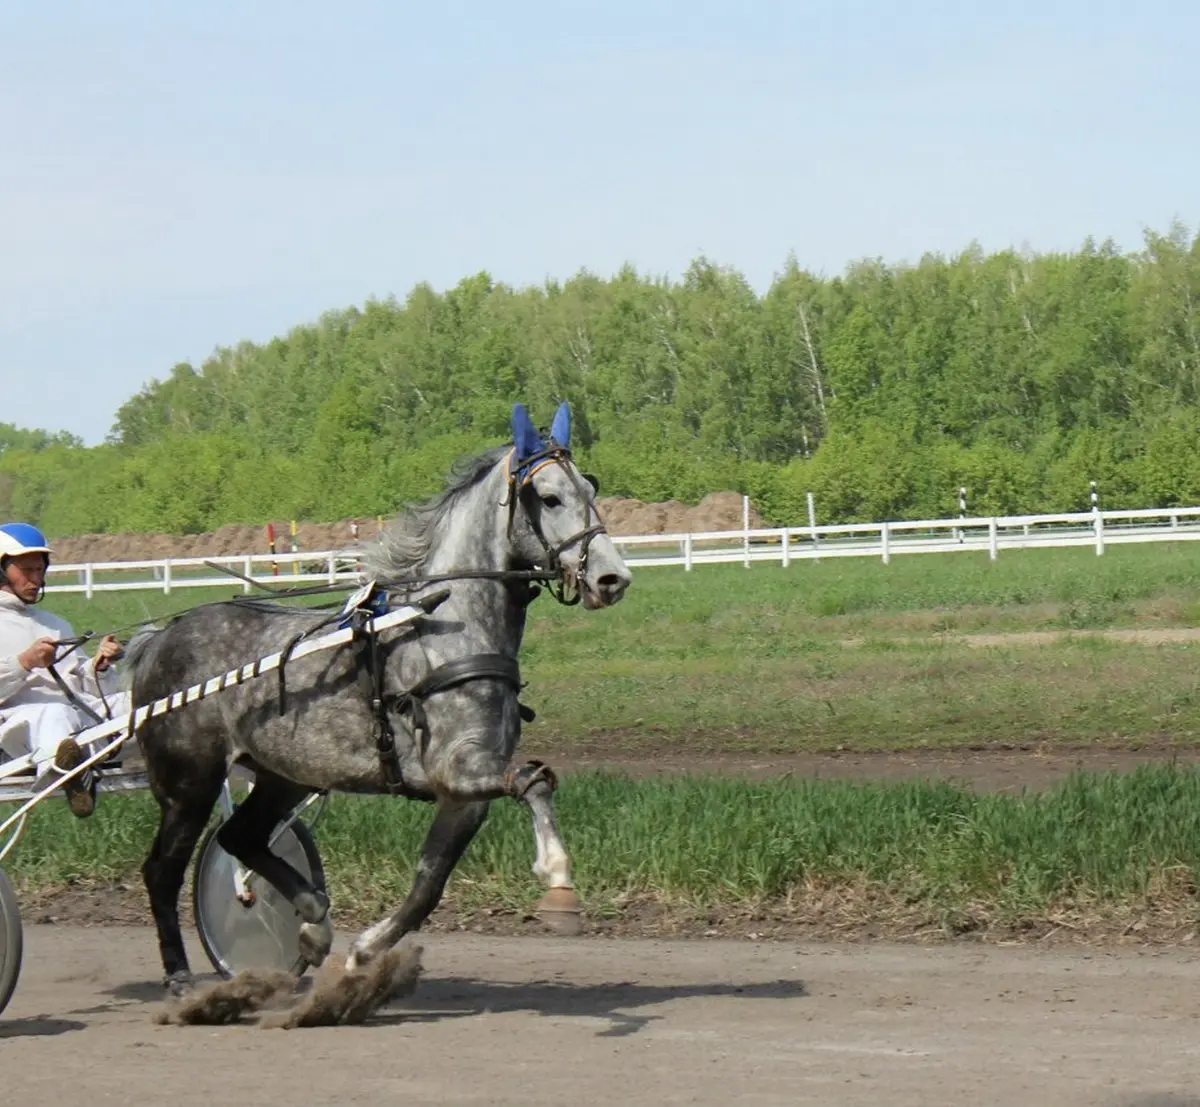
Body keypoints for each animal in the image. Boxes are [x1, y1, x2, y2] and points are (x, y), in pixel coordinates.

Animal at [123, 401, 633, 989]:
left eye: (591, 488)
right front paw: (558, 877)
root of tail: (159, 640)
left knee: (241, 838)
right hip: (190, 784)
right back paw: (180, 975)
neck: (445, 627)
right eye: (549, 497)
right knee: (162, 869)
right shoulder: (455, 767)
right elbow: (534, 781)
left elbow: (429, 882)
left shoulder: (463, 795)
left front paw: (366, 951)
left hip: (285, 774)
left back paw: (313, 920)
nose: (612, 578)